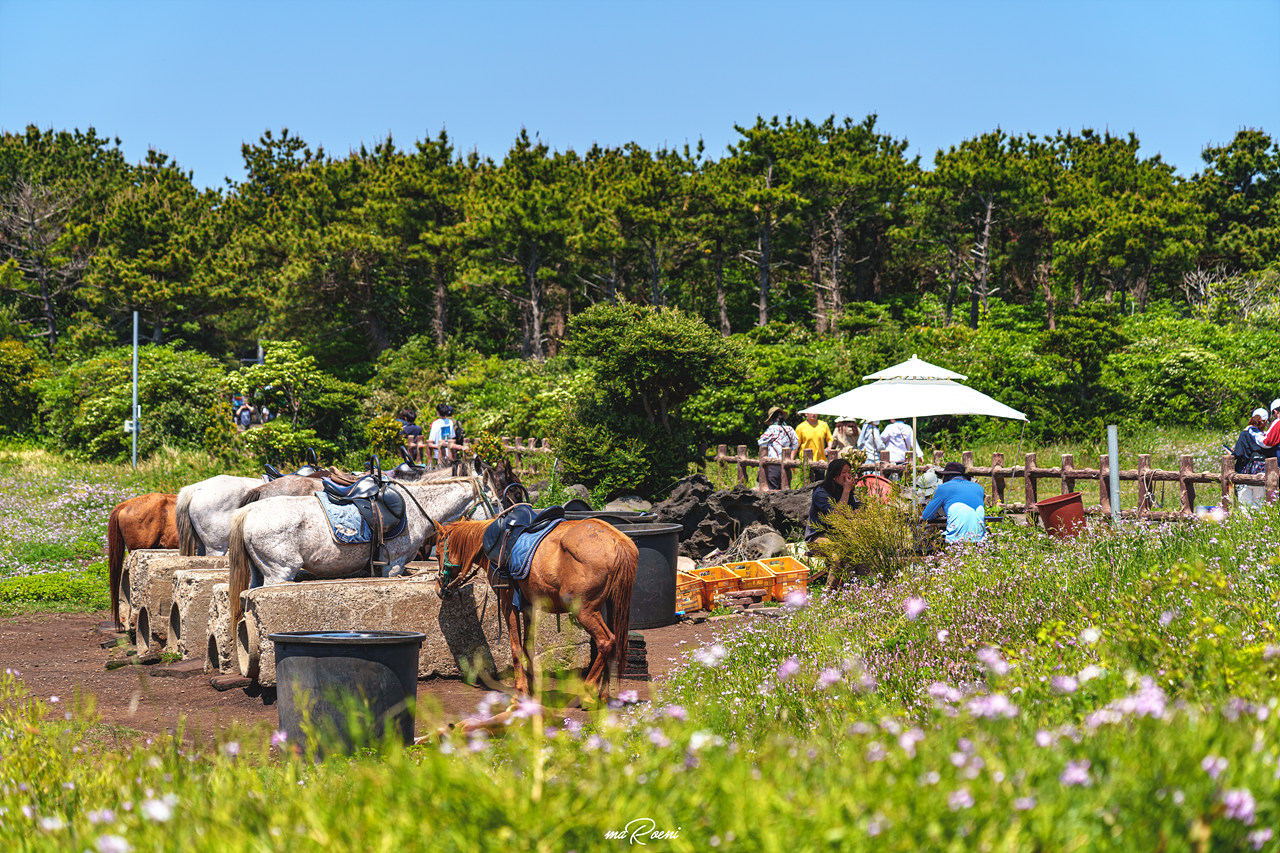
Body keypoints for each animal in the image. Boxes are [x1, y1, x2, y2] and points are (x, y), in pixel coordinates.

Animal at [227, 473, 486, 627]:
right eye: (491, 499)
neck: (413, 508)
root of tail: (248, 512)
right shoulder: (394, 565)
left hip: (259, 571)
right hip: (279, 574)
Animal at [435, 514, 640, 701]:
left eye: (436, 554)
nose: (439, 589)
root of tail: (618, 541)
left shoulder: (507, 604)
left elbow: (516, 647)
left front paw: (520, 689)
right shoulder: (528, 606)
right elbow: (528, 646)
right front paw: (532, 688)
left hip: (584, 610)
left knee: (606, 642)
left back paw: (588, 691)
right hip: (610, 607)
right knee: (614, 643)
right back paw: (603, 695)